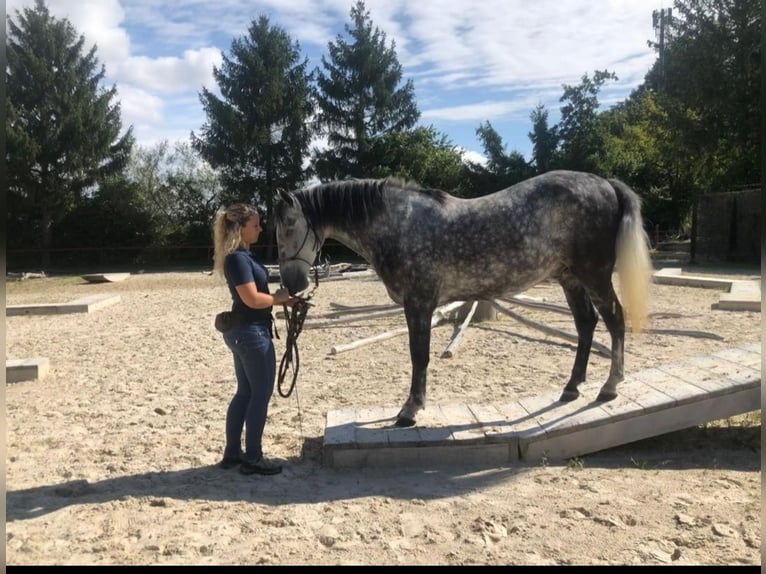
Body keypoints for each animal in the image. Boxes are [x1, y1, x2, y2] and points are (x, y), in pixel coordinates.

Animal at [274, 170, 653, 427]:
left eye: (289, 226)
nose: (291, 283)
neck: (398, 225)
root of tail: (606, 183)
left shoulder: (419, 304)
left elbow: (419, 356)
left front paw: (410, 410)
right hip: (570, 278)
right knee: (586, 325)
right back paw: (572, 387)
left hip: (594, 275)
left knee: (615, 320)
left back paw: (610, 386)